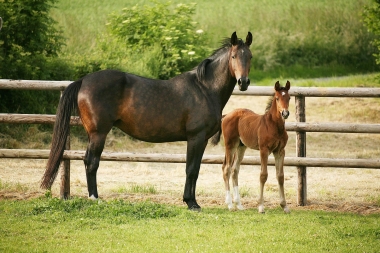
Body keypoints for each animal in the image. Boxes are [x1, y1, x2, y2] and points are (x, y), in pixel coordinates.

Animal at [40, 31, 252, 210]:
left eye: (249, 56)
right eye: (234, 57)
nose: (243, 82)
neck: (204, 89)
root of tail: (83, 81)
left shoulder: (201, 140)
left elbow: (196, 169)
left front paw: (191, 201)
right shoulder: (196, 138)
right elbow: (191, 169)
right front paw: (191, 203)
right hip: (98, 133)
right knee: (91, 161)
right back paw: (95, 198)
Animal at [211, 80, 290, 212]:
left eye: (289, 98)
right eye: (277, 98)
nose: (285, 113)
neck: (274, 126)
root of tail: (226, 115)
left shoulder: (280, 151)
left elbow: (280, 176)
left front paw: (284, 206)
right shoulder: (264, 150)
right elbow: (263, 175)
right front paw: (261, 206)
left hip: (240, 147)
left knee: (234, 170)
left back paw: (239, 204)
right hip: (230, 145)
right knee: (227, 168)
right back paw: (230, 204)